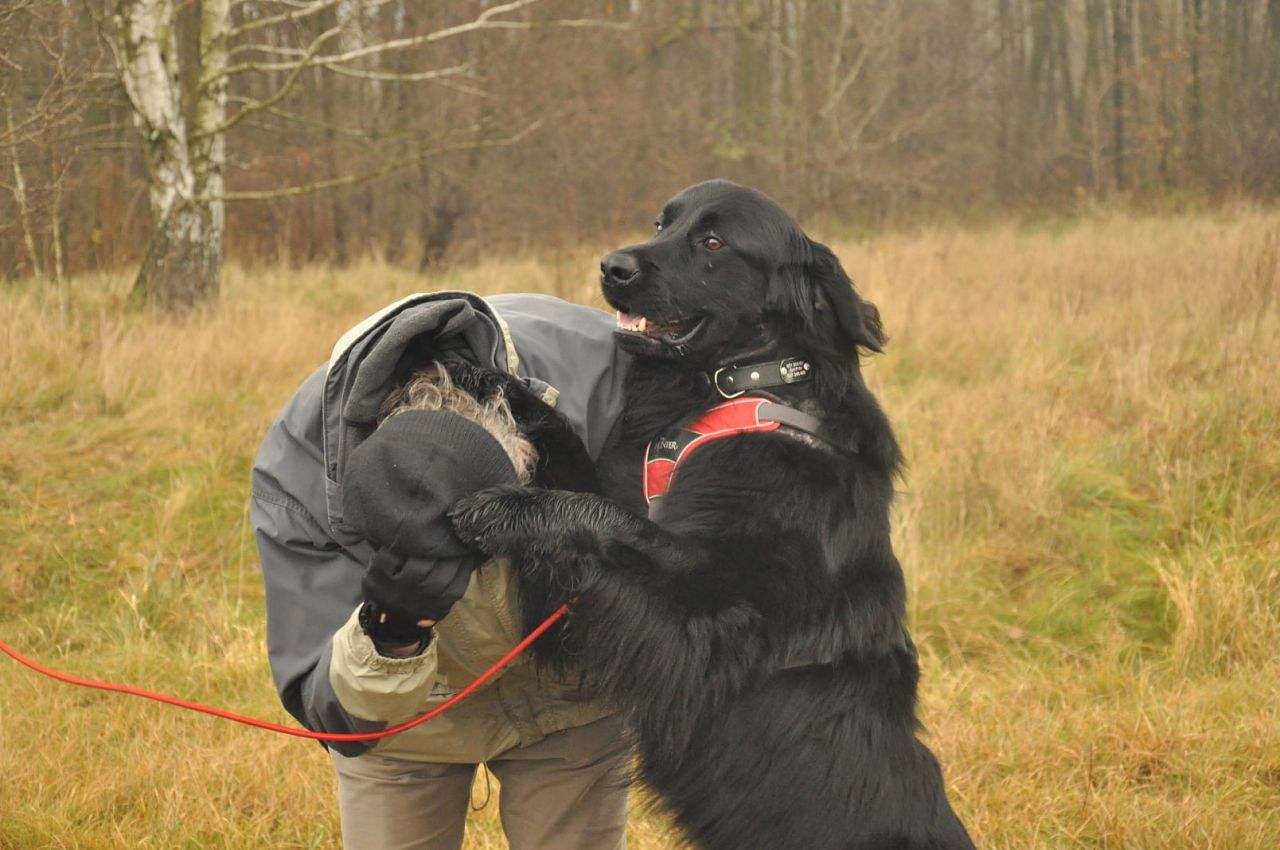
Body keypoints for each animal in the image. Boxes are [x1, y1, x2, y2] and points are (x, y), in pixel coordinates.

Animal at [451, 180, 977, 850]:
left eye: (713, 243)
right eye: (661, 224)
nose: (611, 266)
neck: (745, 387)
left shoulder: (710, 617)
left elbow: (605, 519)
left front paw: (508, 508)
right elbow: (571, 452)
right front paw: (485, 376)